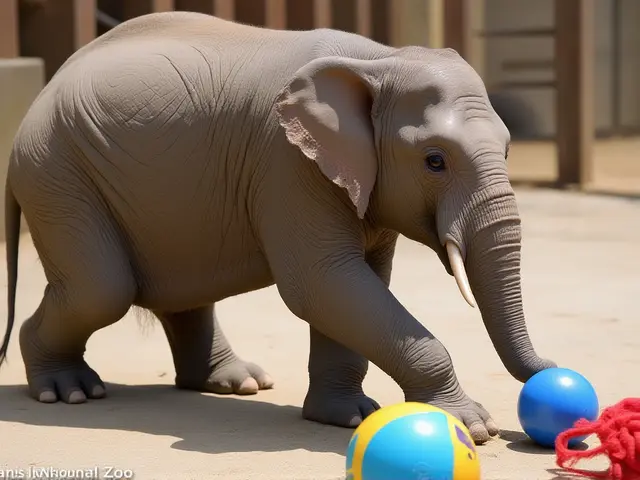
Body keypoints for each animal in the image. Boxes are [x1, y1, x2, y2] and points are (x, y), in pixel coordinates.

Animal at [0, 11, 555, 444]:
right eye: (434, 161)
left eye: (508, 150)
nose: (553, 373)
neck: (377, 61)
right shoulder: (287, 163)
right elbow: (322, 282)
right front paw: (472, 426)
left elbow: (357, 283)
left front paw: (346, 417)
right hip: (56, 173)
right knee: (103, 289)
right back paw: (67, 390)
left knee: (175, 288)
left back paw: (237, 384)